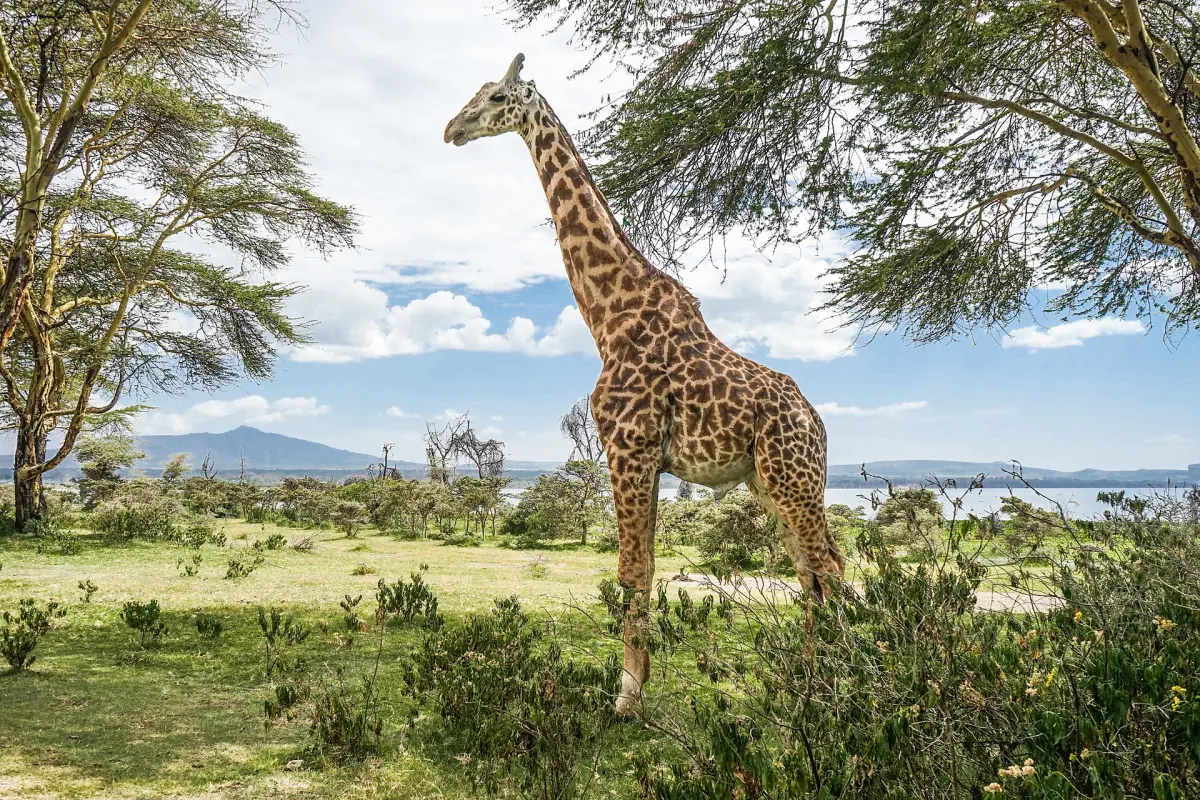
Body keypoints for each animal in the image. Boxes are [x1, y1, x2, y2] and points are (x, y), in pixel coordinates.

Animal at [444, 54, 845, 716]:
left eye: (497, 96)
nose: (451, 128)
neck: (609, 314)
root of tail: (817, 422)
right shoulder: (646, 458)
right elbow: (647, 567)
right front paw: (640, 681)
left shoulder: (627, 446)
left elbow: (631, 571)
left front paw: (627, 695)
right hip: (768, 481)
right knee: (812, 569)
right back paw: (811, 684)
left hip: (793, 477)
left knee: (829, 568)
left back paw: (840, 690)